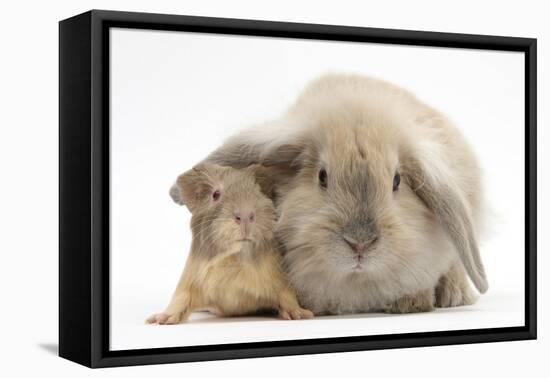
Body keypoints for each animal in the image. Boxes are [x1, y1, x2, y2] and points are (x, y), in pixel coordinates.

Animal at [148, 163, 314, 324]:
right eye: (215, 194)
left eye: (258, 192)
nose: (245, 215)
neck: (234, 258)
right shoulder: (189, 280)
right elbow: (180, 299)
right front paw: (159, 320)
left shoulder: (279, 279)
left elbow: (287, 297)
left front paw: (301, 315)